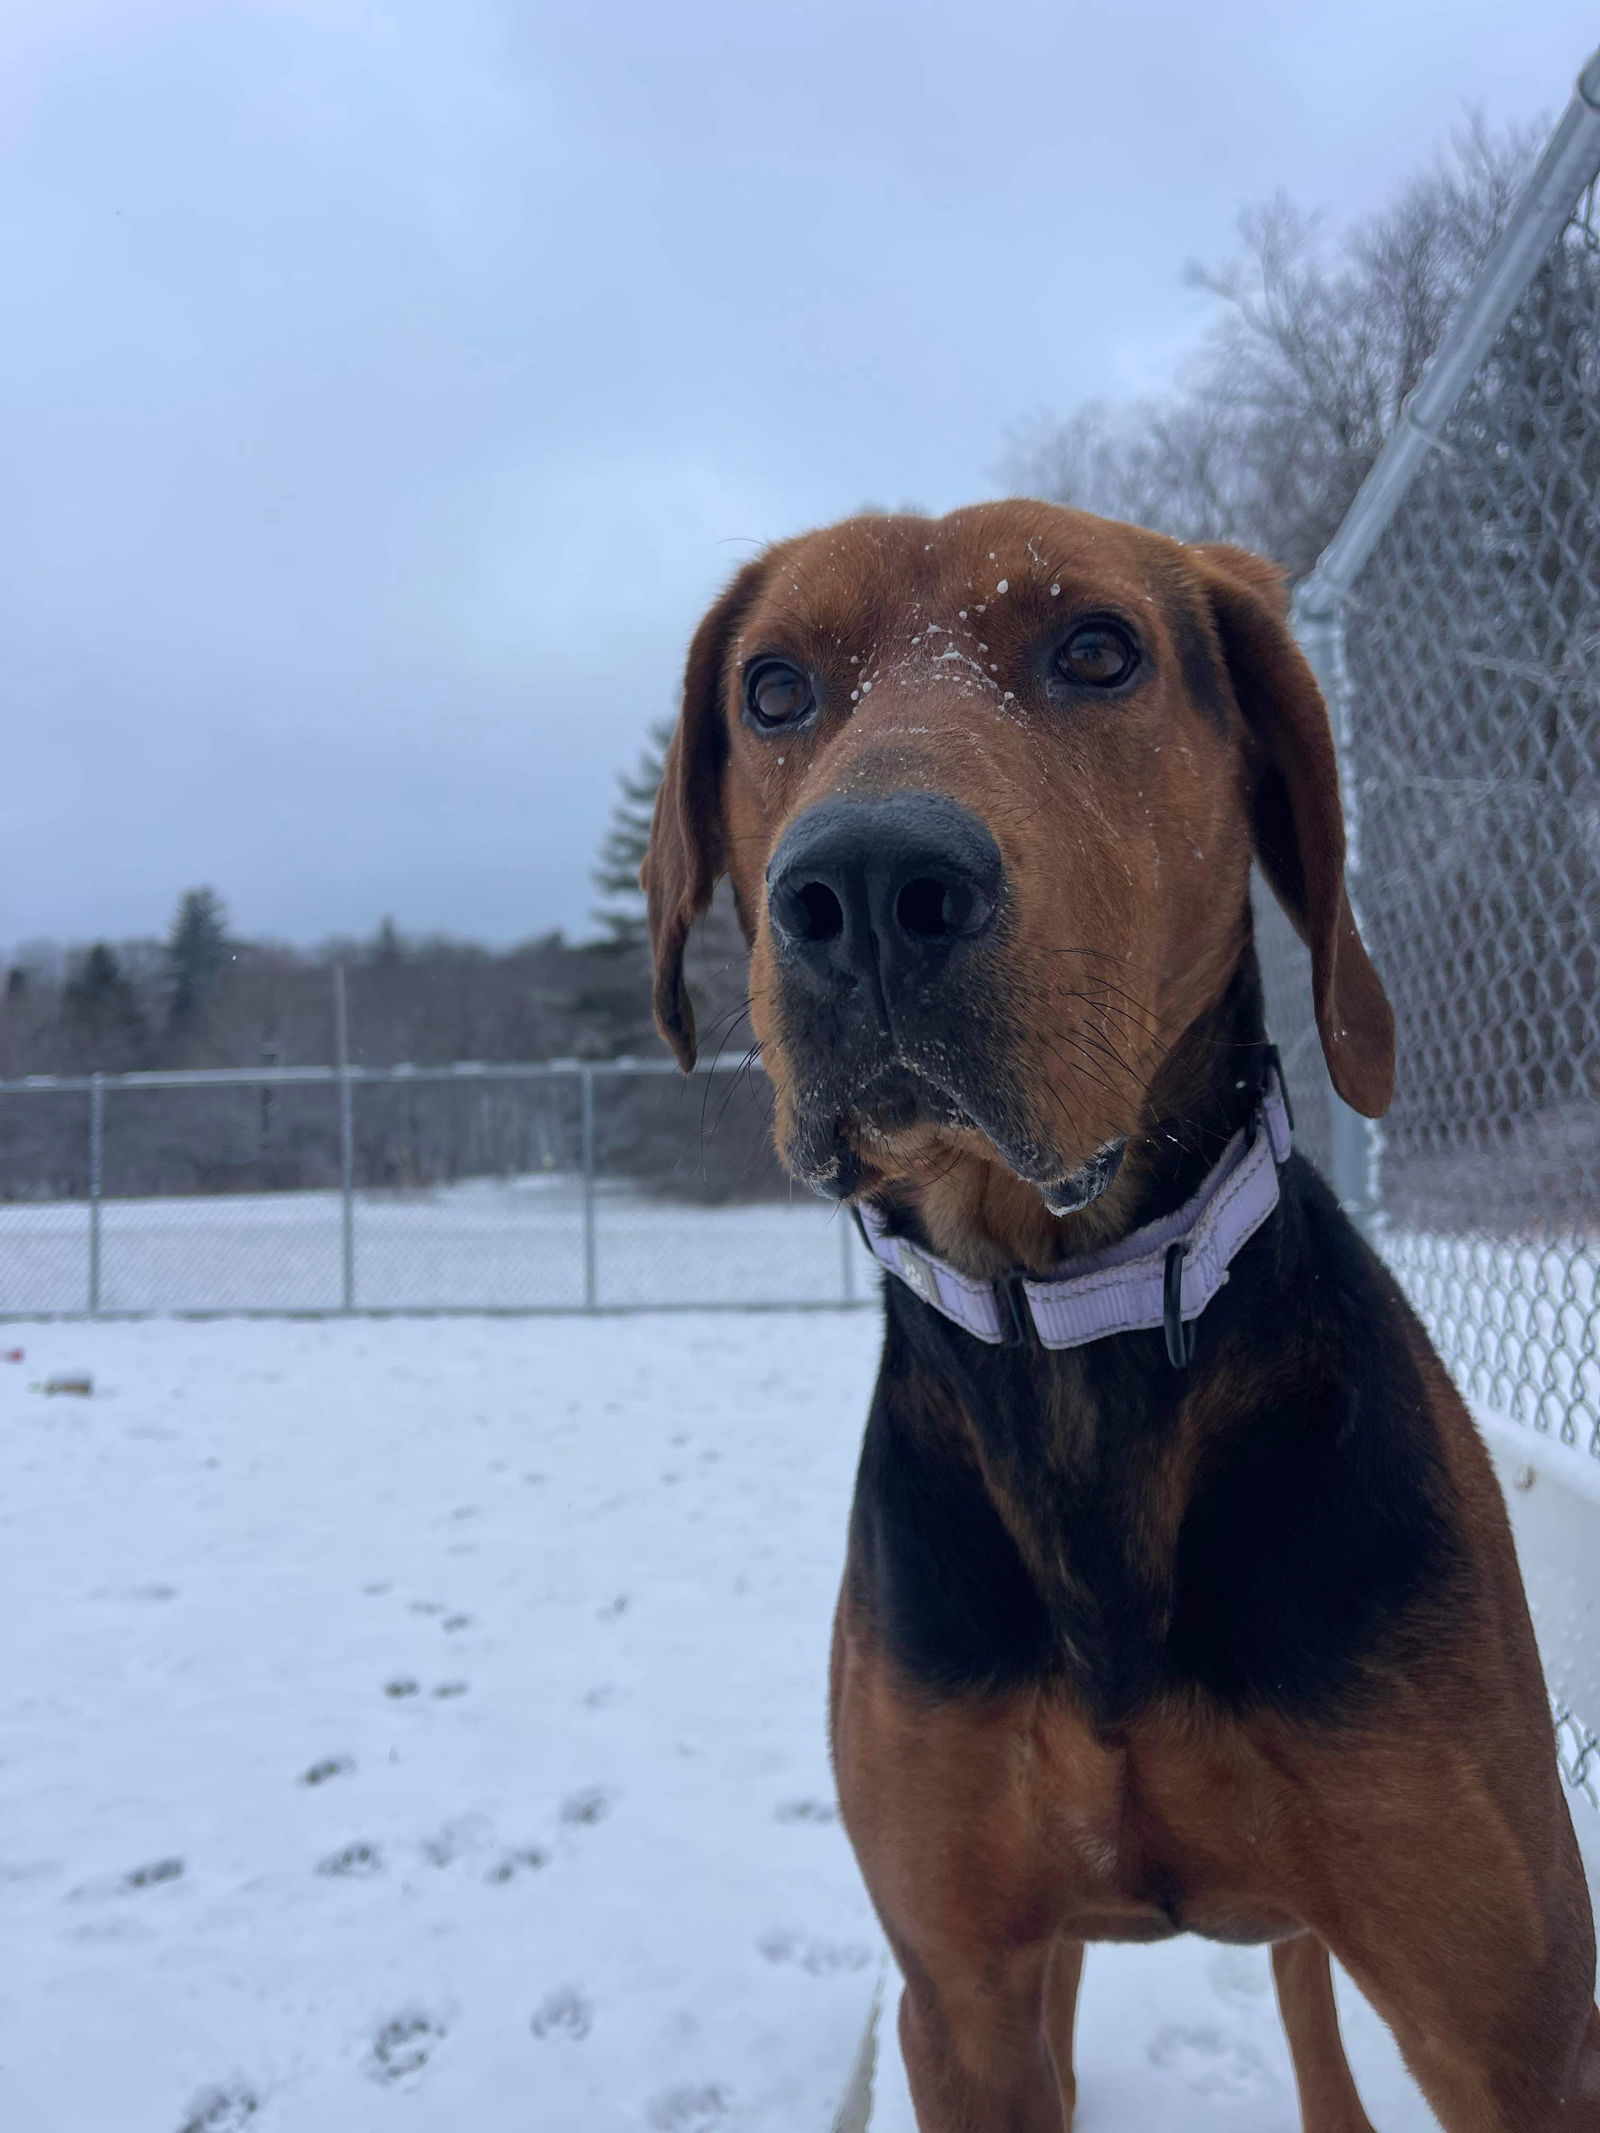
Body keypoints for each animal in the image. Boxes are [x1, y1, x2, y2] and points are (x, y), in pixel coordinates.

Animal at [644, 503, 1600, 2133]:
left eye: (1098, 650)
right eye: (772, 690)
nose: (867, 885)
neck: (1067, 1331)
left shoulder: (1511, 2019)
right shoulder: (961, 1997)